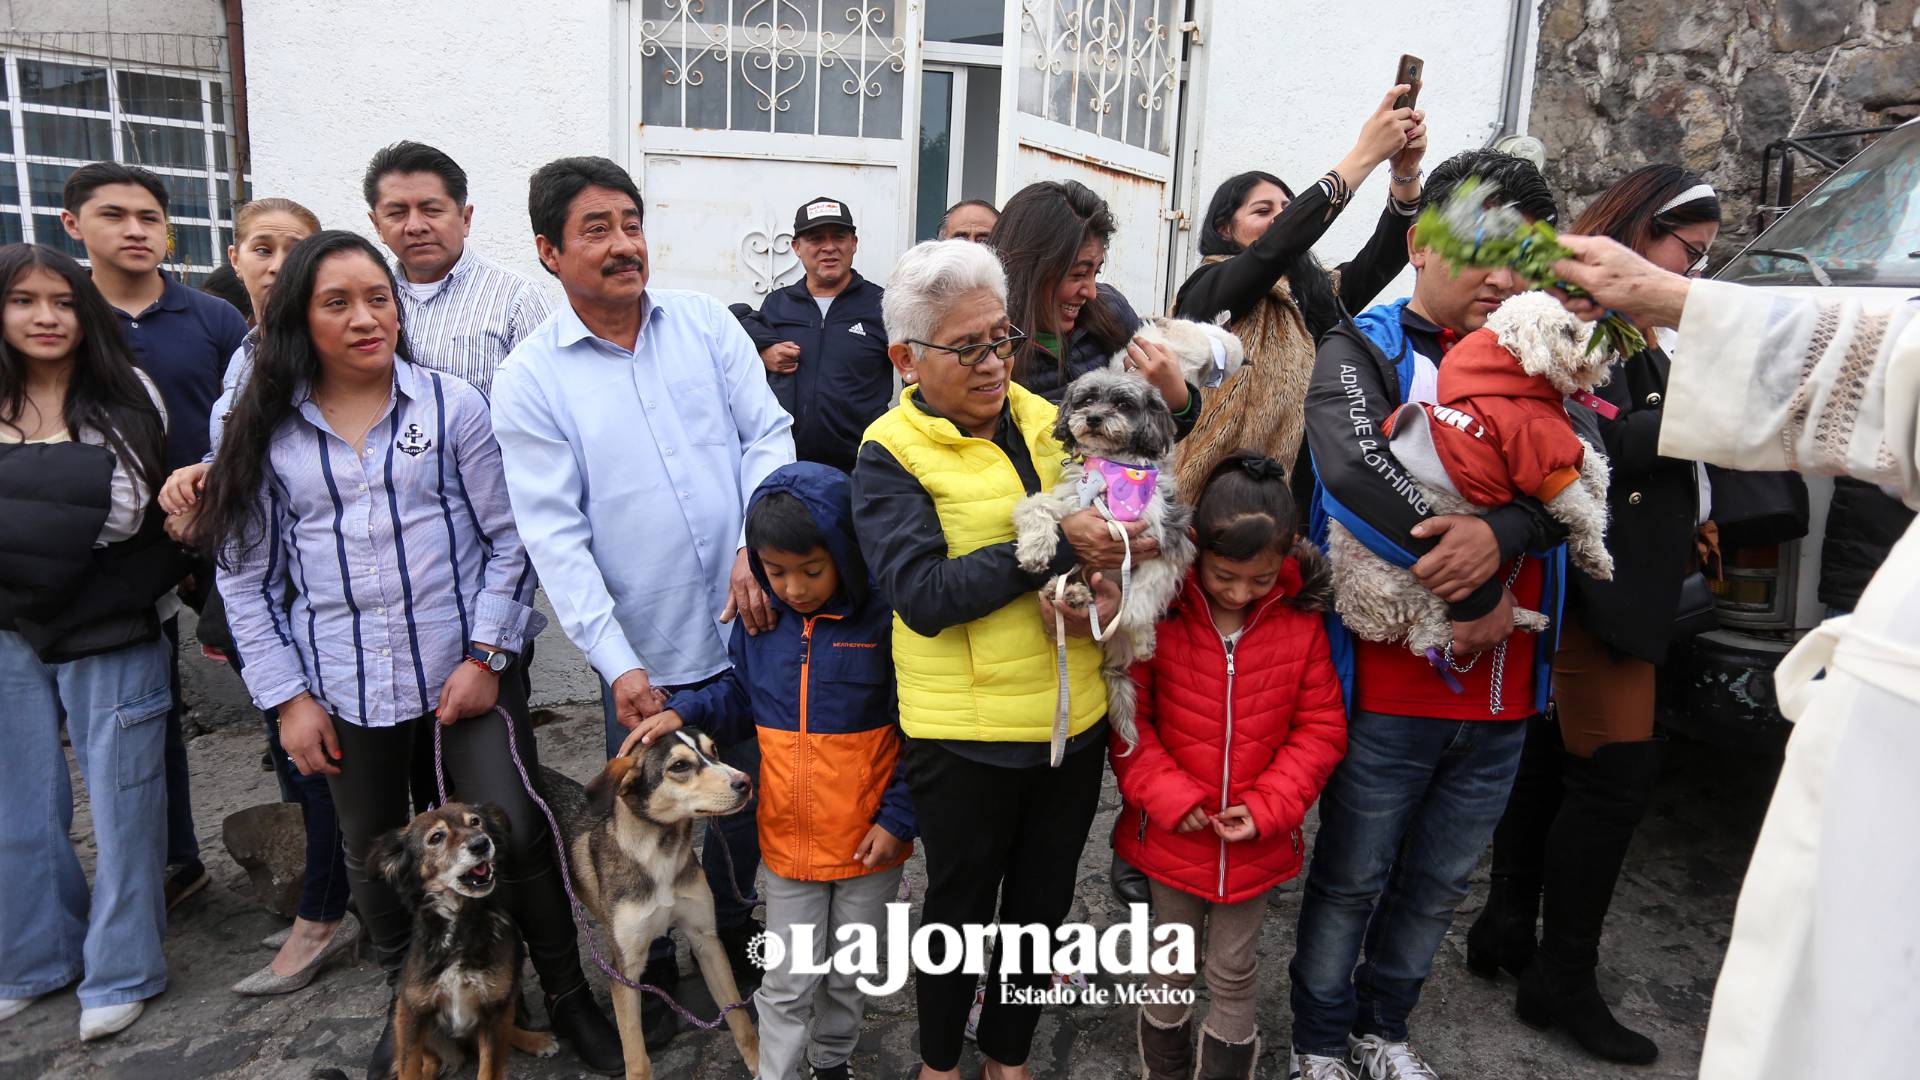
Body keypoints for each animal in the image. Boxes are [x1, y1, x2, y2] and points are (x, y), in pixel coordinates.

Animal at [370, 799, 560, 1076]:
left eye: (475, 822)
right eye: (436, 837)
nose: (481, 844)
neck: (459, 926)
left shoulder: (493, 1006)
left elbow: (490, 1066)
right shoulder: (411, 1010)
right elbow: (409, 1068)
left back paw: (536, 1040)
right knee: (431, 1060)